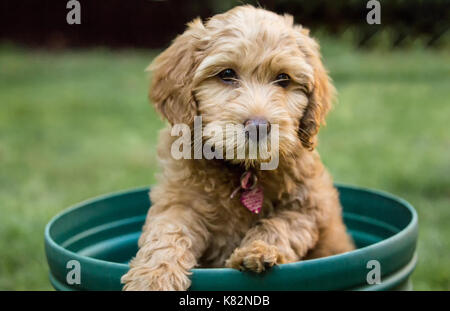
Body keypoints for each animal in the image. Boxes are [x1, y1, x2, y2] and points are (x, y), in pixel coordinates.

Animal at [122, 5, 356, 292]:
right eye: (227, 74)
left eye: (283, 79)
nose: (258, 126)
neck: (243, 170)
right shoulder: (179, 200)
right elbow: (167, 231)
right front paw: (153, 276)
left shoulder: (311, 205)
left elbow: (281, 224)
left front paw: (257, 250)